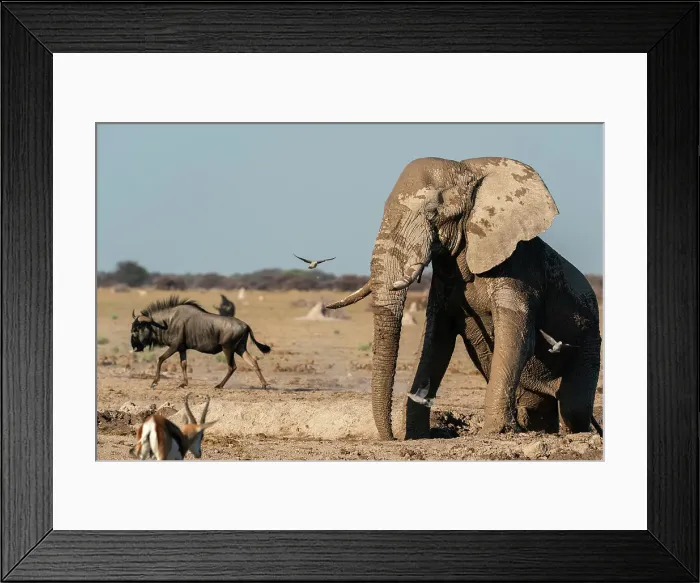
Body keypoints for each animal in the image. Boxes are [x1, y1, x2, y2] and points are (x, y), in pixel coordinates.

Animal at [327, 157, 602, 441]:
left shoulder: (517, 272)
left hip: (590, 342)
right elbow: (436, 342)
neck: (469, 168)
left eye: (432, 213)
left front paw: (494, 432)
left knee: (573, 406)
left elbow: (516, 340)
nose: (391, 438)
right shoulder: (445, 282)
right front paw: (419, 435)